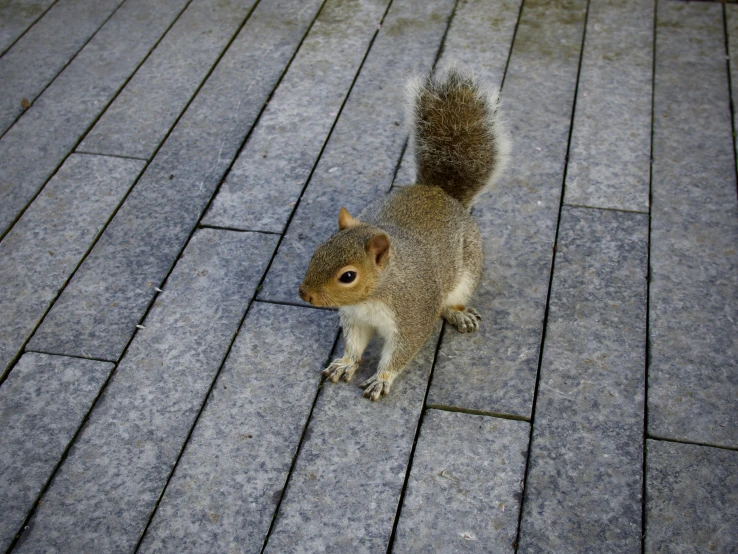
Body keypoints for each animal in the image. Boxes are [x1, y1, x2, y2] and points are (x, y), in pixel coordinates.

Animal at [296, 67, 508, 398]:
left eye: (348, 276)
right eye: (318, 250)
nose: (304, 294)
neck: (374, 295)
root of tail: (438, 192)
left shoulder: (412, 316)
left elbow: (400, 352)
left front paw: (382, 379)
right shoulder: (355, 317)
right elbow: (354, 344)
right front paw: (345, 363)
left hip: (467, 271)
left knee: (451, 302)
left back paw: (458, 312)